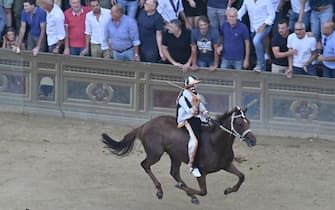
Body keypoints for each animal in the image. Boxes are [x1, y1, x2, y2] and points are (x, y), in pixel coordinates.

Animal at [101, 106, 258, 204]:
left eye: (248, 122)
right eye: (239, 123)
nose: (253, 140)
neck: (215, 143)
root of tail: (144, 125)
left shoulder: (226, 164)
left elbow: (242, 176)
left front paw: (229, 190)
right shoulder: (201, 172)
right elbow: (203, 191)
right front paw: (183, 189)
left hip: (174, 156)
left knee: (174, 172)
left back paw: (187, 194)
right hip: (156, 154)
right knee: (145, 165)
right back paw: (160, 191)